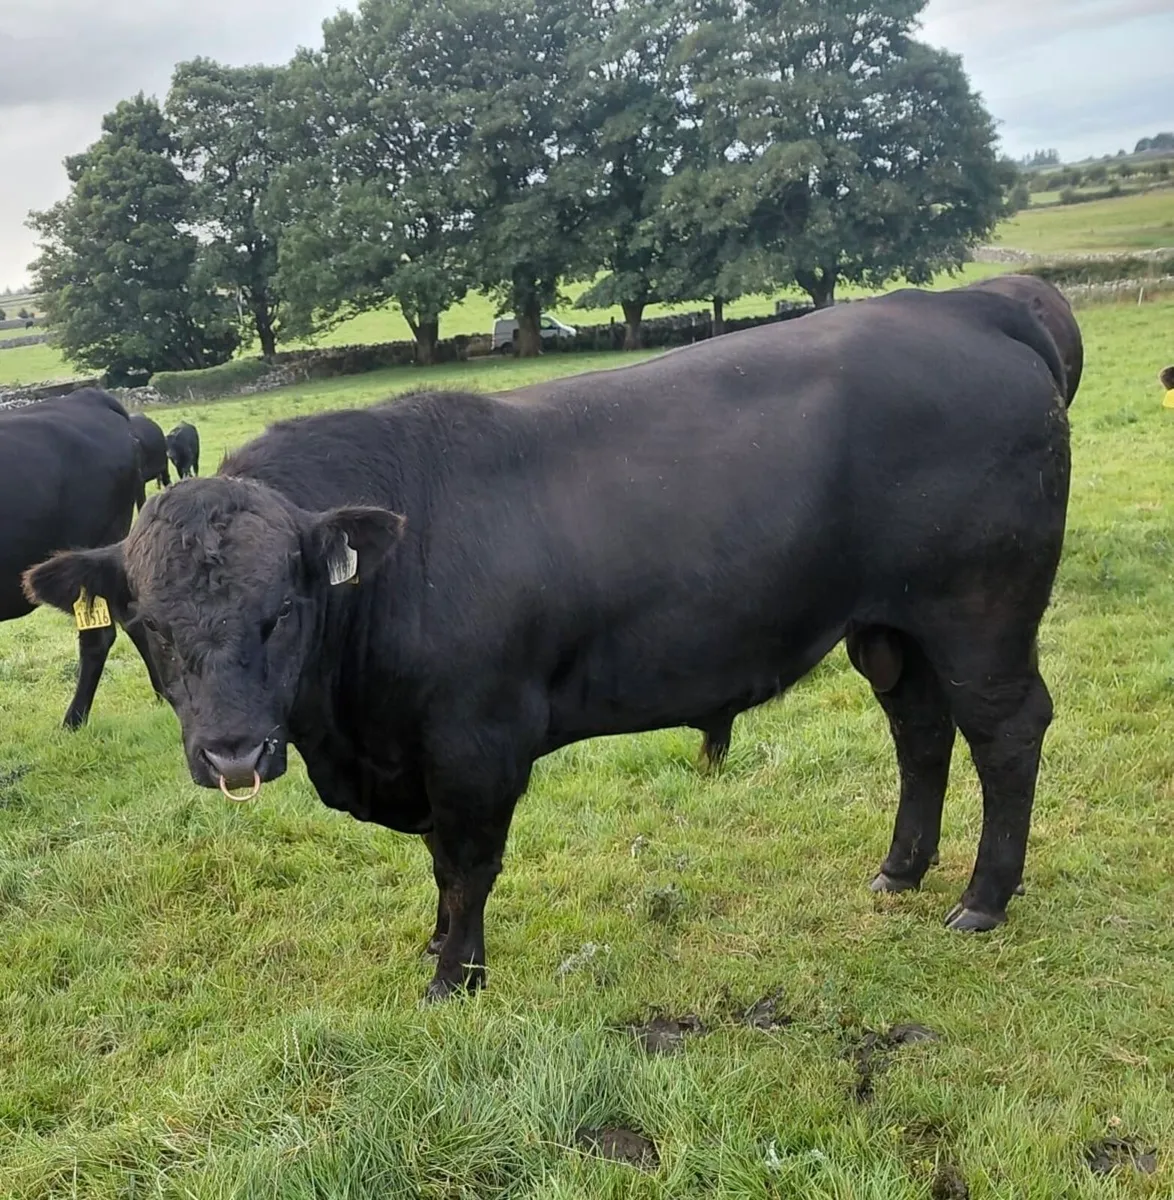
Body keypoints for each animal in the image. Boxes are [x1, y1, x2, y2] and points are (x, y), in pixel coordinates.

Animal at [25, 280, 1076, 1001]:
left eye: (282, 609)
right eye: (148, 626)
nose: (233, 754)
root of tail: (965, 305)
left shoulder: (475, 742)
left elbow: (468, 862)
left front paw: (453, 974)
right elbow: (441, 864)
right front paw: (437, 945)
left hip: (980, 614)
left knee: (1006, 732)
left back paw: (983, 897)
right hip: (890, 628)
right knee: (920, 731)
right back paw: (900, 869)